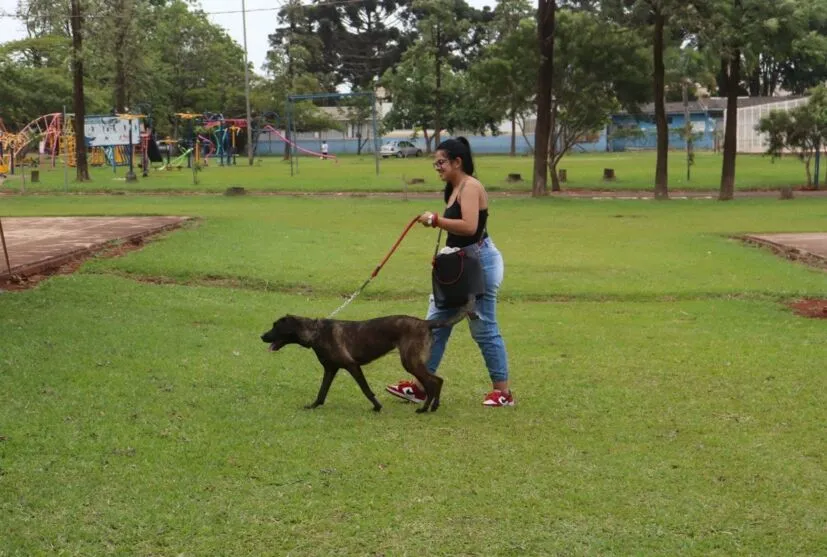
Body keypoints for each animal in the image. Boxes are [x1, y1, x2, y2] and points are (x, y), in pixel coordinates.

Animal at [262, 300, 476, 412]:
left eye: (275, 326)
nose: (261, 336)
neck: (316, 332)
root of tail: (425, 323)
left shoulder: (352, 366)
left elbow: (366, 389)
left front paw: (377, 406)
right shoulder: (330, 369)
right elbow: (322, 392)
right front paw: (314, 405)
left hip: (410, 362)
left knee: (434, 381)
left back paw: (425, 409)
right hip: (413, 362)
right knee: (437, 380)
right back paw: (433, 407)